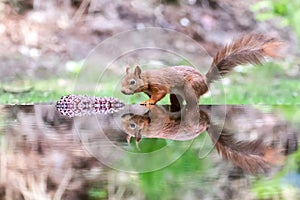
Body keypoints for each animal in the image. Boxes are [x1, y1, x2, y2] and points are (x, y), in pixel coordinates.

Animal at [120, 34, 282, 106]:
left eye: (132, 82)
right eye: (122, 80)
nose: (122, 91)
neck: (146, 79)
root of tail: (205, 81)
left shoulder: (159, 85)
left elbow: (159, 94)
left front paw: (149, 102)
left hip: (190, 86)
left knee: (195, 100)